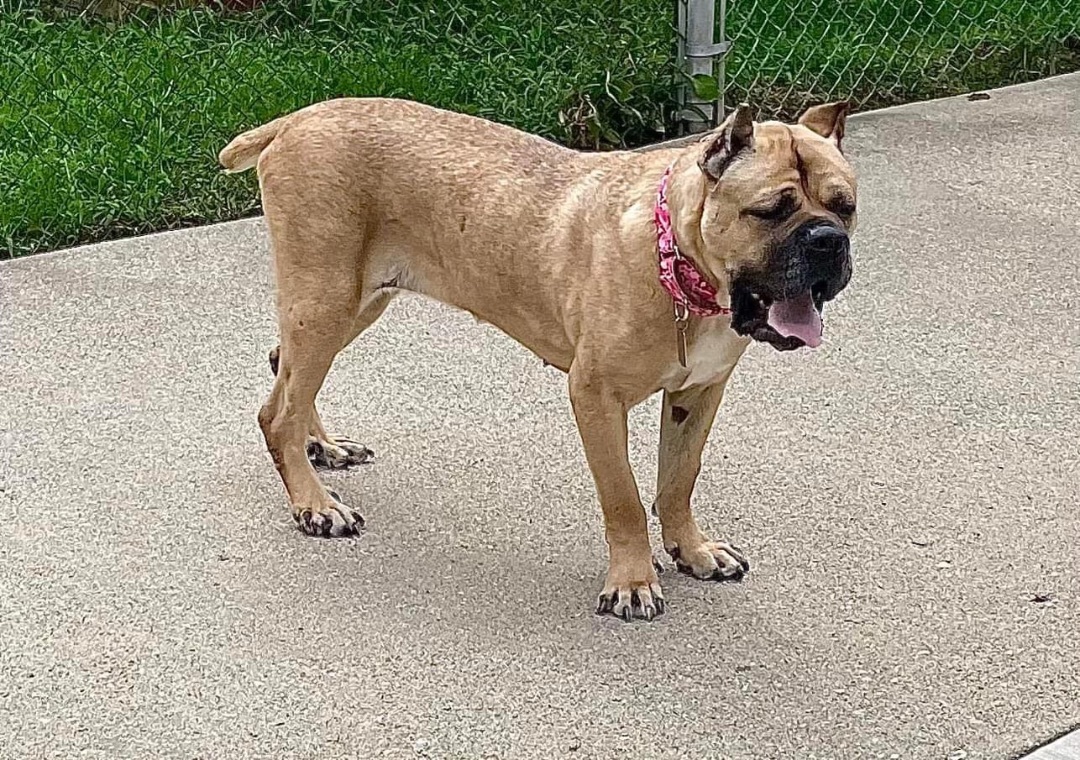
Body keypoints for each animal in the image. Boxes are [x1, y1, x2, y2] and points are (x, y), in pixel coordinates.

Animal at [219, 98, 855, 621]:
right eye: (768, 211)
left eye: (846, 206)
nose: (828, 240)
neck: (679, 261)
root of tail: (292, 121)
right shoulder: (596, 397)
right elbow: (624, 498)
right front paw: (632, 582)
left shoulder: (699, 394)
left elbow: (678, 480)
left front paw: (693, 550)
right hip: (326, 300)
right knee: (277, 412)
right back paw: (314, 505)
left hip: (355, 303)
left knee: (284, 368)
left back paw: (321, 448)